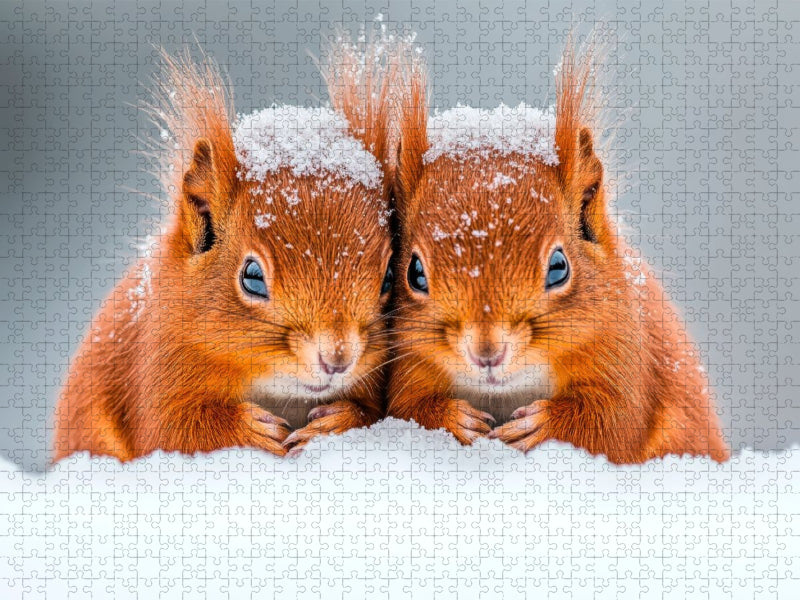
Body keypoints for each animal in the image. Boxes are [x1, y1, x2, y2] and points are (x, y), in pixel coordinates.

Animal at [52, 48, 396, 462]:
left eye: (389, 276)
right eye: (252, 277)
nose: (338, 359)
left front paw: (336, 423)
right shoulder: (157, 367)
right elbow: (172, 431)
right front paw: (251, 430)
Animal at [385, 35, 730, 463]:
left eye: (558, 267)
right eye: (414, 273)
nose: (487, 353)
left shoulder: (624, 353)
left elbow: (613, 424)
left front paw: (542, 424)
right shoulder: (408, 365)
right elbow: (407, 409)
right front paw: (455, 418)